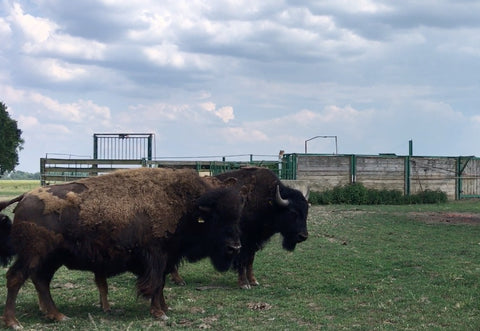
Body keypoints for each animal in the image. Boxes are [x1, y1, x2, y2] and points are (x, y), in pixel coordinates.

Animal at [0, 169, 246, 330]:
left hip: (51, 258)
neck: (186, 205)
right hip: (33, 255)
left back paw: (58, 316)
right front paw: (159, 313)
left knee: (41, 281)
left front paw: (165, 309)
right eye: (216, 217)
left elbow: (161, 284)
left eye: (236, 216)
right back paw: (14, 322)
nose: (235, 247)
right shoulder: (156, 257)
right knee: (16, 278)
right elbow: (155, 284)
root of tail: (25, 197)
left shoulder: (167, 259)